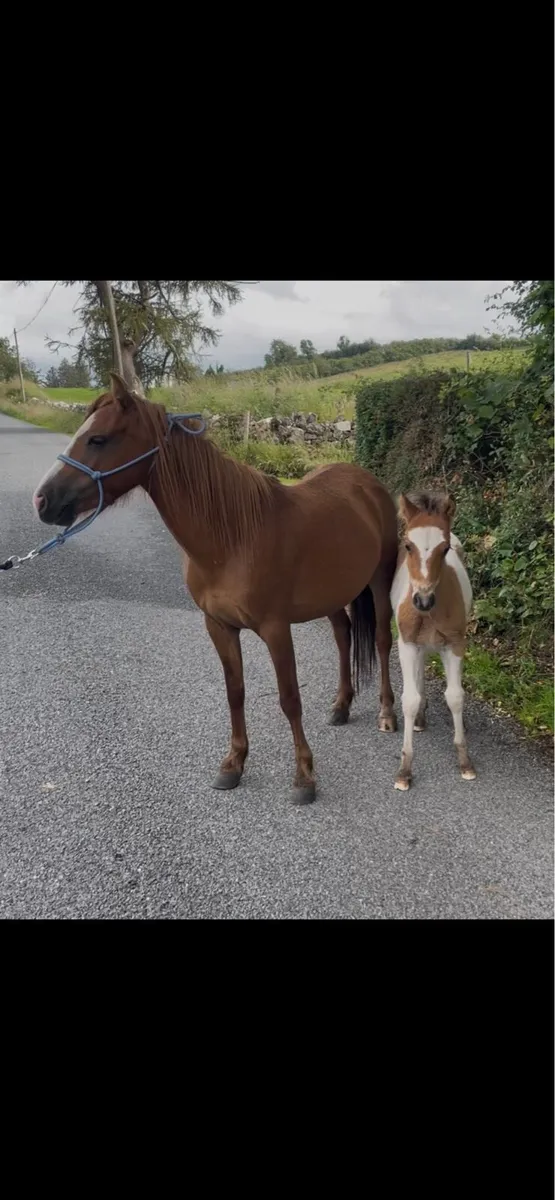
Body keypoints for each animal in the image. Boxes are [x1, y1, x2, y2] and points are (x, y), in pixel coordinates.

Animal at [32, 373, 400, 804]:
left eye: (98, 439)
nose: (42, 500)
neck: (232, 539)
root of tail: (367, 483)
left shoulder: (276, 629)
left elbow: (289, 698)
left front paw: (304, 777)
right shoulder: (219, 626)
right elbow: (234, 692)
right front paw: (233, 764)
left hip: (380, 581)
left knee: (381, 640)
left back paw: (387, 714)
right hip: (333, 592)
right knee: (343, 634)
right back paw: (341, 706)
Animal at [391, 491, 476, 791]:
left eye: (445, 549)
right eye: (408, 546)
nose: (423, 601)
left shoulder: (455, 644)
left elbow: (455, 697)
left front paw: (464, 760)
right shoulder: (406, 644)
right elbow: (409, 699)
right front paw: (404, 770)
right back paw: (419, 717)